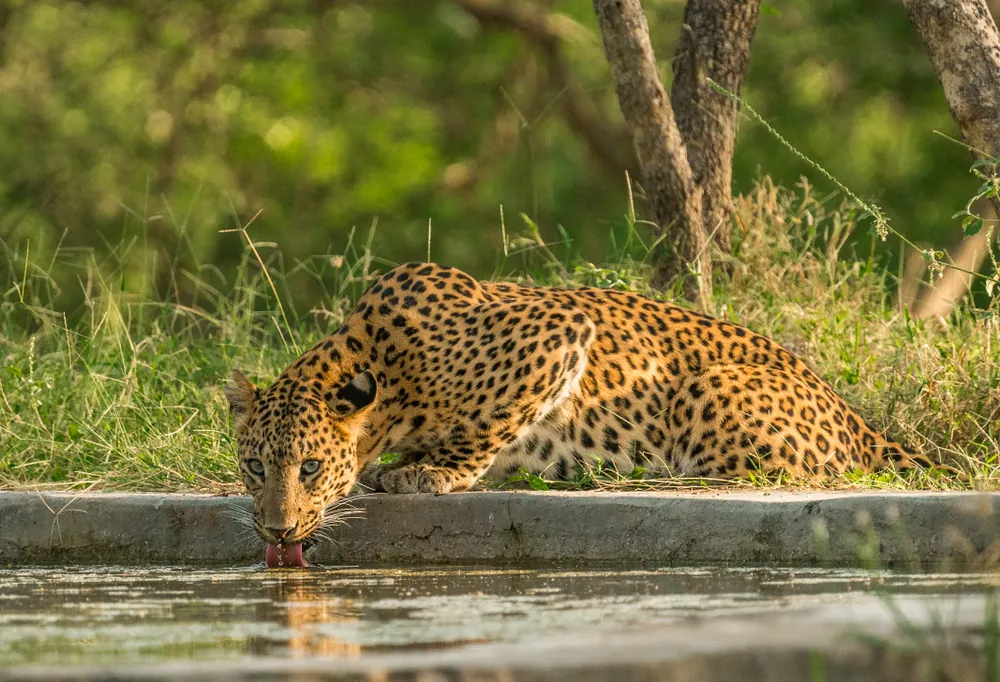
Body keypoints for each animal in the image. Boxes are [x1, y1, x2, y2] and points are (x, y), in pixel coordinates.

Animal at [225, 262, 933, 549]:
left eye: (311, 468)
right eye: (255, 468)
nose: (276, 531)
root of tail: (857, 418)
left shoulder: (557, 328)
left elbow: (488, 421)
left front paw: (430, 471)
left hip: (708, 392)